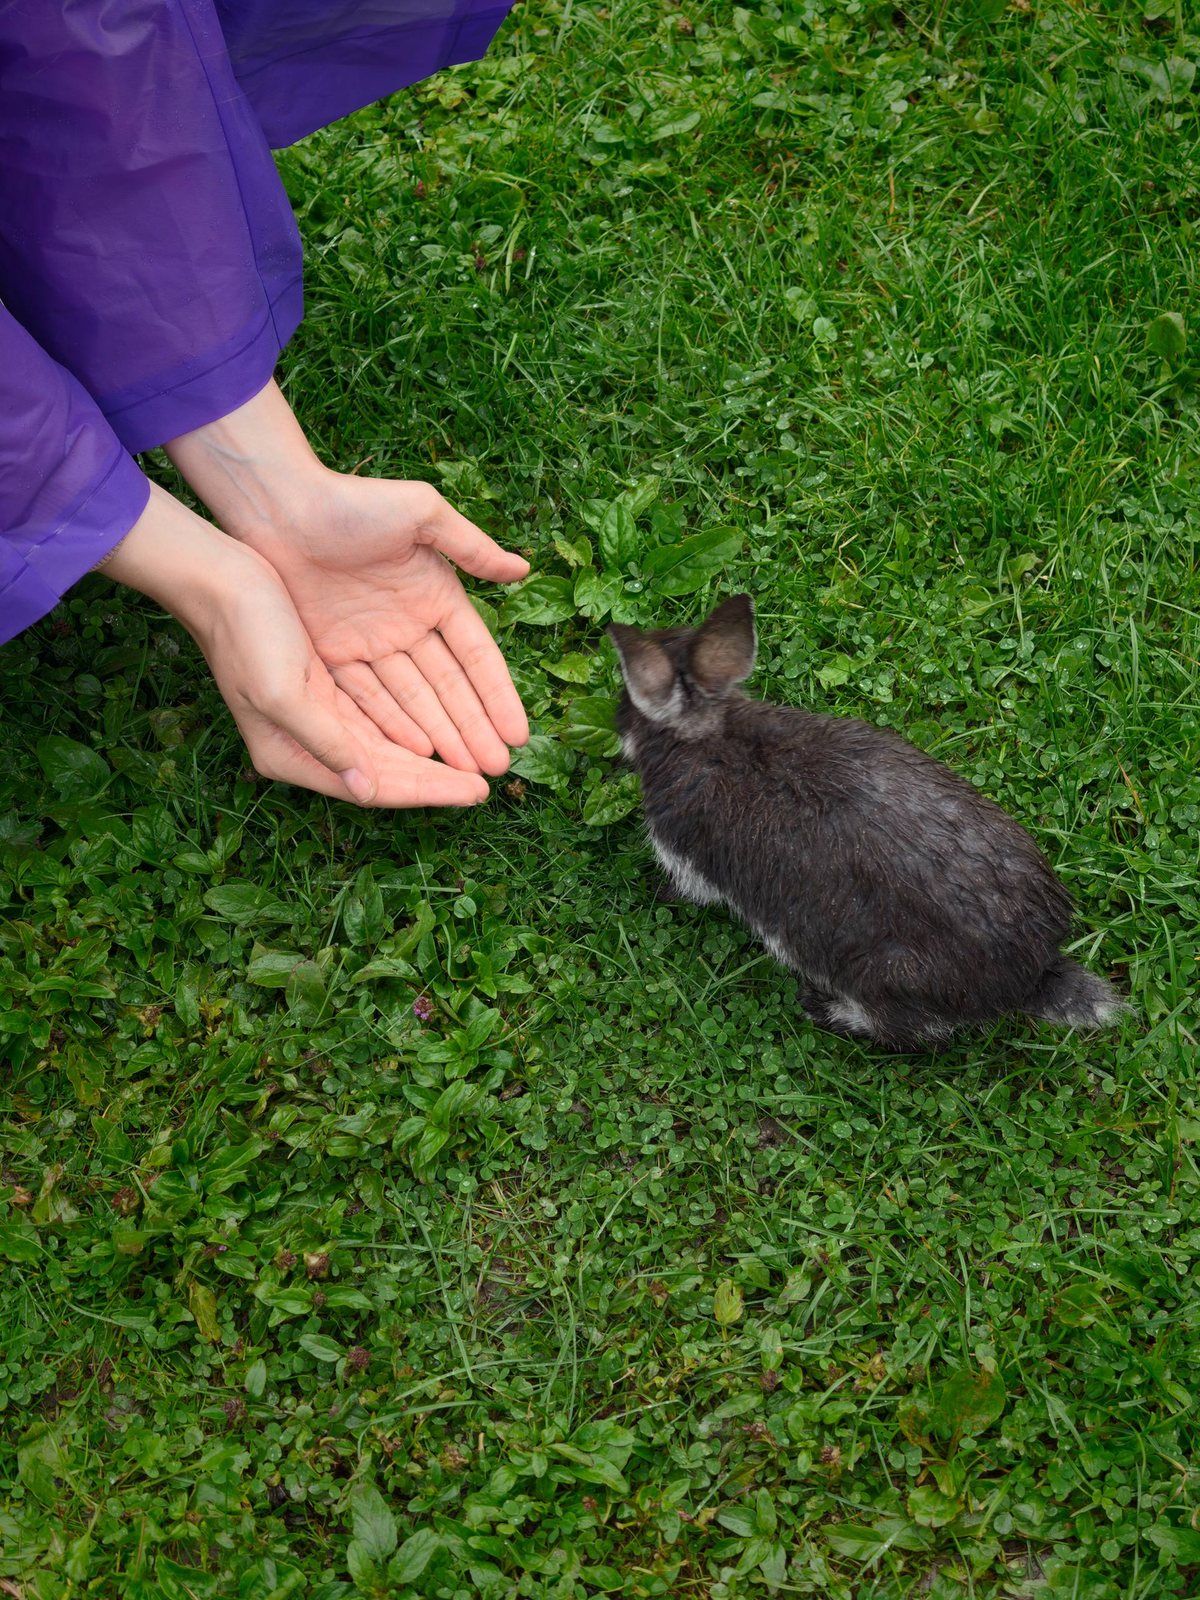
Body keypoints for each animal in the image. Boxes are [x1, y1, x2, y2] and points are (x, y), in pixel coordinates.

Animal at [608, 594, 1126, 1050]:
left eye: (626, 699)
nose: (615, 720)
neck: (705, 734)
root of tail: (1033, 974)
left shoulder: (684, 852)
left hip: (881, 976)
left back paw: (825, 1009)